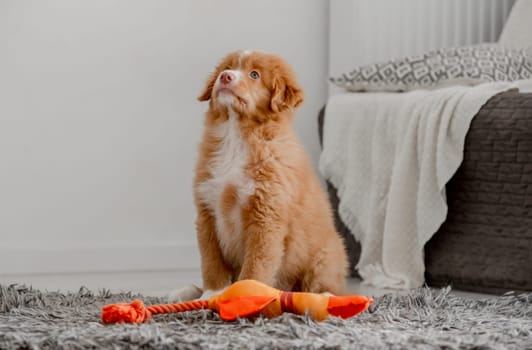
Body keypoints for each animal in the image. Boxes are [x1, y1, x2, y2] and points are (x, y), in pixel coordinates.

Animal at [193, 49, 348, 296]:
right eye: (226, 68)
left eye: (254, 74)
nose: (225, 77)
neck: (235, 137)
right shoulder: (206, 210)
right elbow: (211, 261)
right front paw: (212, 293)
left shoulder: (266, 216)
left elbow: (255, 266)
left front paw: (243, 295)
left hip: (326, 256)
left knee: (323, 285)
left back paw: (324, 295)